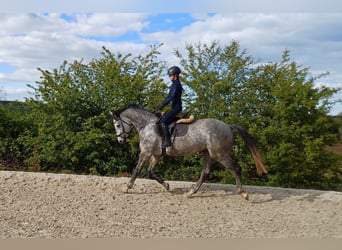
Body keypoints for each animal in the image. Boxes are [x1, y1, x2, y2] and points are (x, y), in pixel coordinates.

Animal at [109, 103, 268, 199]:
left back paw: (243, 193)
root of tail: (228, 126)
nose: (120, 141)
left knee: (236, 169)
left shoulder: (146, 153)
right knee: (205, 173)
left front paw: (127, 188)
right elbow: (150, 172)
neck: (146, 125)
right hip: (208, 153)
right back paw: (191, 192)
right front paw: (167, 186)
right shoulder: (156, 154)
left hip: (220, 154)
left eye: (117, 125)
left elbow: (137, 170)